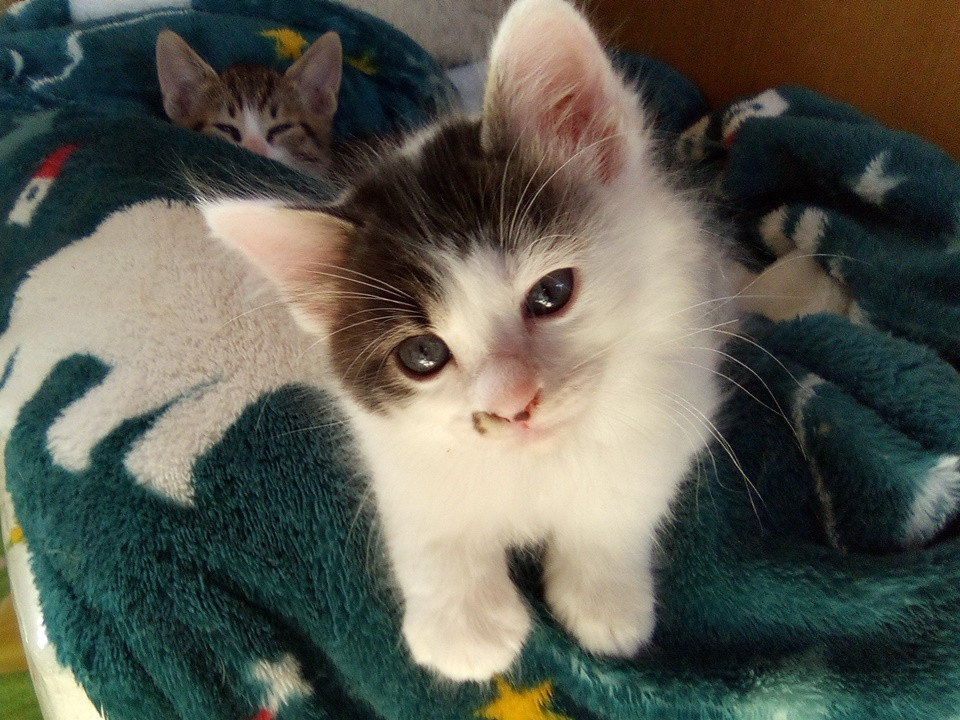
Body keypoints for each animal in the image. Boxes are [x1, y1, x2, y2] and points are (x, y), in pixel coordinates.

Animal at [201, 0, 730, 682]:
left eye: (553, 292)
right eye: (423, 355)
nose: (515, 405)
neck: (534, 466)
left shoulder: (678, 397)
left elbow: (620, 501)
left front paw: (603, 598)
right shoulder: (392, 440)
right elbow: (427, 513)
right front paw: (464, 627)